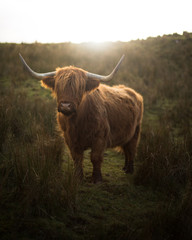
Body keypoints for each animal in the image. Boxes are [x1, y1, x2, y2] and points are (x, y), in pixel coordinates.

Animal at [19, 54, 143, 182]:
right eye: (58, 86)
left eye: (80, 87)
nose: (66, 105)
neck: (77, 122)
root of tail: (134, 93)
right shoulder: (69, 138)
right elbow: (77, 158)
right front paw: (78, 177)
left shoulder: (100, 137)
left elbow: (95, 157)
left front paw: (97, 178)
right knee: (126, 149)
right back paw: (125, 168)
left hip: (136, 131)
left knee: (131, 150)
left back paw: (129, 170)